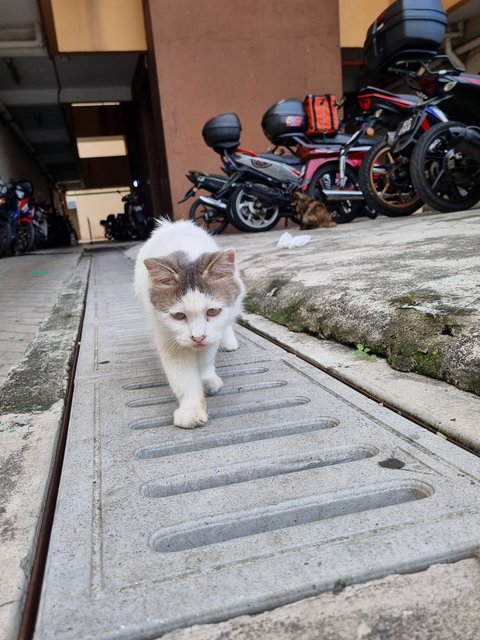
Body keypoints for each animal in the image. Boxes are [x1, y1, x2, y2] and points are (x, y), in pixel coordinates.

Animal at [134, 220, 244, 430]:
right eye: (178, 315)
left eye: (212, 311)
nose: (197, 337)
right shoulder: (167, 337)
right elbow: (182, 377)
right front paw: (191, 410)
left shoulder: (212, 335)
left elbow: (206, 360)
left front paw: (207, 378)